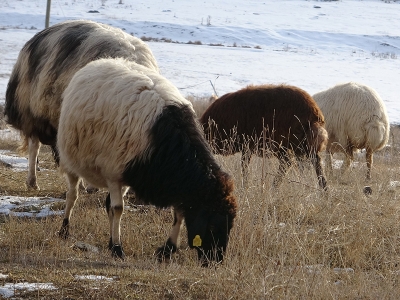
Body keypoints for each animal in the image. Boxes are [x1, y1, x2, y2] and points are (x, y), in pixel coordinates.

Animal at [56, 56, 238, 264]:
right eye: (213, 226)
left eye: (230, 226)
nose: (215, 262)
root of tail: (101, 61)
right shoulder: (113, 173)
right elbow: (118, 209)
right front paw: (118, 249)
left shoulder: (167, 181)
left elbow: (178, 214)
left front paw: (167, 249)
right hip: (71, 160)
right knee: (72, 195)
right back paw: (64, 229)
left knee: (106, 204)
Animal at [200, 83, 328, 189]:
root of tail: (315, 113)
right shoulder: (247, 147)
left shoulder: (247, 145)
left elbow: (244, 167)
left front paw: (245, 187)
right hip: (302, 146)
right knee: (316, 163)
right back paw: (324, 191)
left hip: (283, 144)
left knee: (287, 163)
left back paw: (274, 188)